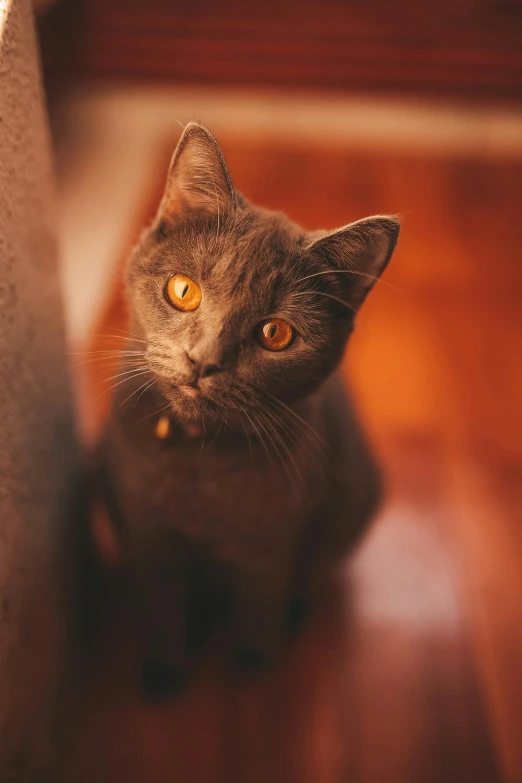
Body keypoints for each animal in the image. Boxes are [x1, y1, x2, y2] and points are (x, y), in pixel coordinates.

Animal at [97, 124, 398, 700]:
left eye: (275, 333)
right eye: (183, 290)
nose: (203, 359)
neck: (199, 460)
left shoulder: (273, 541)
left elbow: (260, 604)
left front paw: (255, 665)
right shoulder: (149, 535)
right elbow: (164, 603)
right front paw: (166, 669)